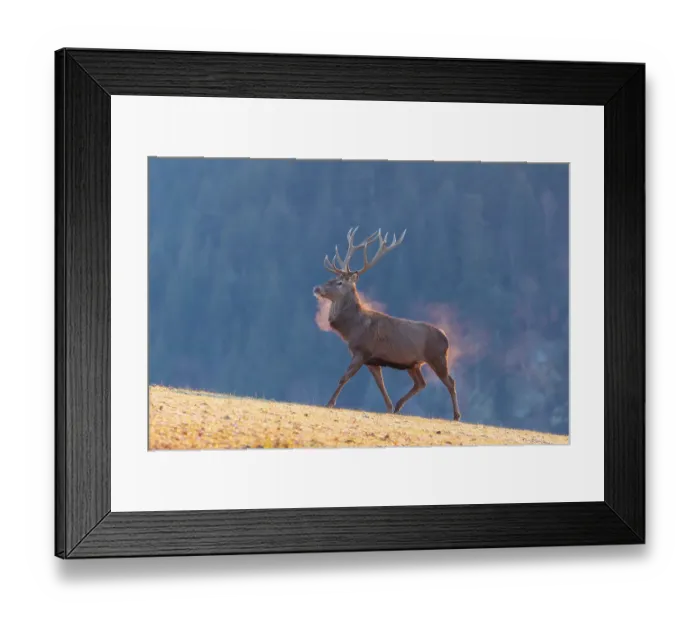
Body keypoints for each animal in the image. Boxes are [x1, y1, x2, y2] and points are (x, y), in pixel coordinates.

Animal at [313, 227, 462, 422]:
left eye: (339, 282)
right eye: (330, 278)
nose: (317, 288)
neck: (353, 327)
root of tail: (446, 338)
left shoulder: (362, 351)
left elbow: (344, 377)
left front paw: (330, 403)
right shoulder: (372, 360)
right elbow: (380, 384)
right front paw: (389, 407)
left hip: (437, 357)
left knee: (450, 381)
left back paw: (456, 415)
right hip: (413, 363)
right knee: (421, 383)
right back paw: (398, 406)